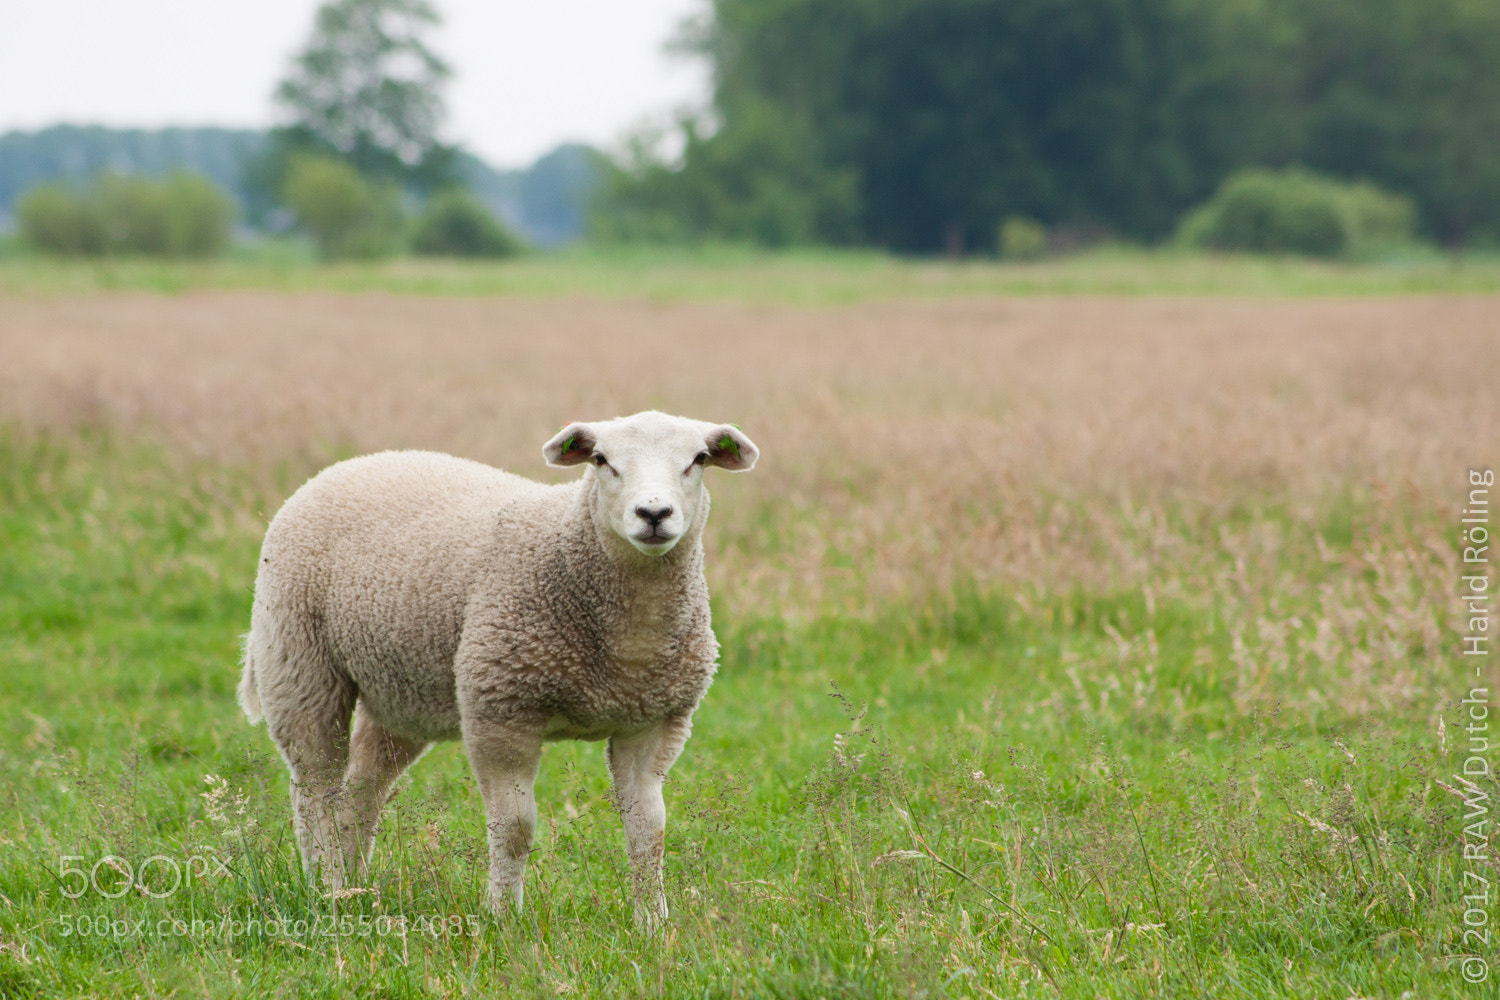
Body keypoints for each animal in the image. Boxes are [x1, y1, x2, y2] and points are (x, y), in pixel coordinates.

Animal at [237, 411, 758, 930]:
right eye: (600, 460)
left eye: (699, 459)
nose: (653, 514)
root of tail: (355, 463)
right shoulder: (500, 710)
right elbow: (514, 829)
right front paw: (503, 918)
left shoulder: (653, 721)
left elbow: (649, 830)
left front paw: (652, 924)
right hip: (300, 663)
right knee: (315, 792)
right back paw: (325, 887)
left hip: (398, 693)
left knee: (360, 793)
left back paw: (353, 888)